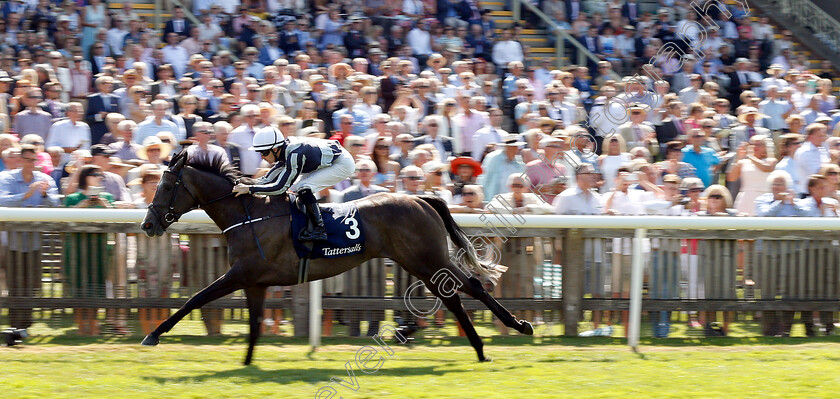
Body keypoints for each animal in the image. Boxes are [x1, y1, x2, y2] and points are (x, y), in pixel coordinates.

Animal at [138, 152, 532, 366]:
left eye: (167, 186)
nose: (148, 224)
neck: (248, 214)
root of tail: (421, 198)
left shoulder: (239, 274)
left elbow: (194, 298)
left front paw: (153, 335)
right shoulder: (255, 281)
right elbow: (253, 325)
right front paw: (247, 363)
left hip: (428, 259)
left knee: (471, 287)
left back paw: (515, 328)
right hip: (419, 263)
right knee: (454, 298)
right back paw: (480, 347)